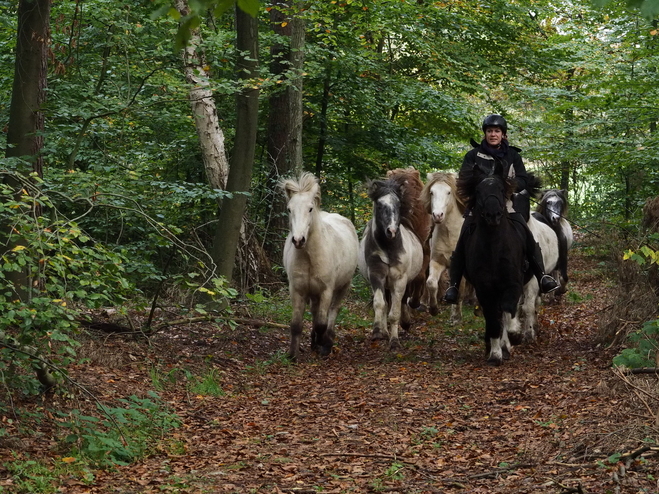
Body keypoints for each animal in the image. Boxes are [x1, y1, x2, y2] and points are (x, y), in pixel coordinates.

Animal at [282, 172, 358, 360]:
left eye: (310, 209)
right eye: (289, 209)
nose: (298, 240)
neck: (311, 256)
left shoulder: (326, 290)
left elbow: (321, 323)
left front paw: (323, 347)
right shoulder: (298, 290)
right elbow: (296, 324)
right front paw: (293, 354)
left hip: (343, 286)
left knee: (333, 312)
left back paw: (327, 341)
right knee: (315, 312)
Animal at [420, 172, 466, 322]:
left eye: (448, 192)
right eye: (431, 192)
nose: (438, 215)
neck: (449, 235)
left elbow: (460, 287)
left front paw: (456, 316)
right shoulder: (437, 261)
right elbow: (431, 283)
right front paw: (434, 309)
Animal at [458, 163, 536, 366]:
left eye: (501, 189)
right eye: (478, 191)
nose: (493, 215)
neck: (494, 247)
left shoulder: (512, 284)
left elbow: (508, 313)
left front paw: (511, 338)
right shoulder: (484, 289)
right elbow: (493, 319)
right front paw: (494, 354)